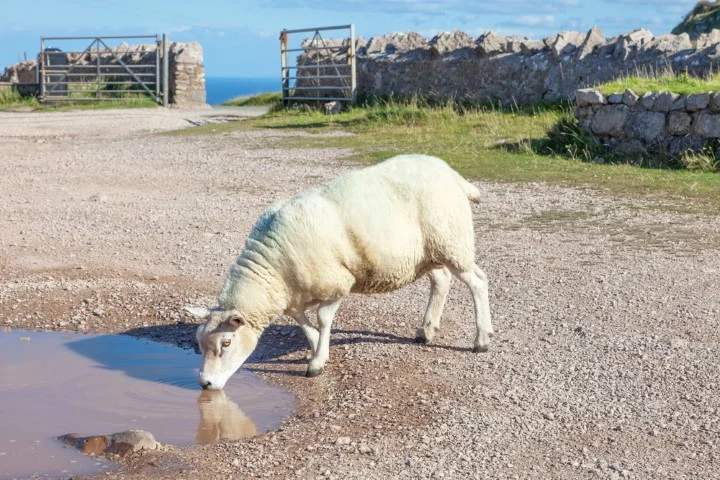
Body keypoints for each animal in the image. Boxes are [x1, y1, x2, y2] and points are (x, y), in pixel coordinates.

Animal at [185, 154, 492, 390]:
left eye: (226, 342)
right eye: (199, 341)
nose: (205, 384)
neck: (273, 267)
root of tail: (452, 174)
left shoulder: (338, 283)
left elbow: (322, 318)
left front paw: (317, 362)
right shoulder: (293, 296)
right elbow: (303, 322)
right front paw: (316, 349)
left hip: (452, 241)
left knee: (478, 281)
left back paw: (482, 339)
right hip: (429, 253)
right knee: (442, 280)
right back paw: (426, 331)